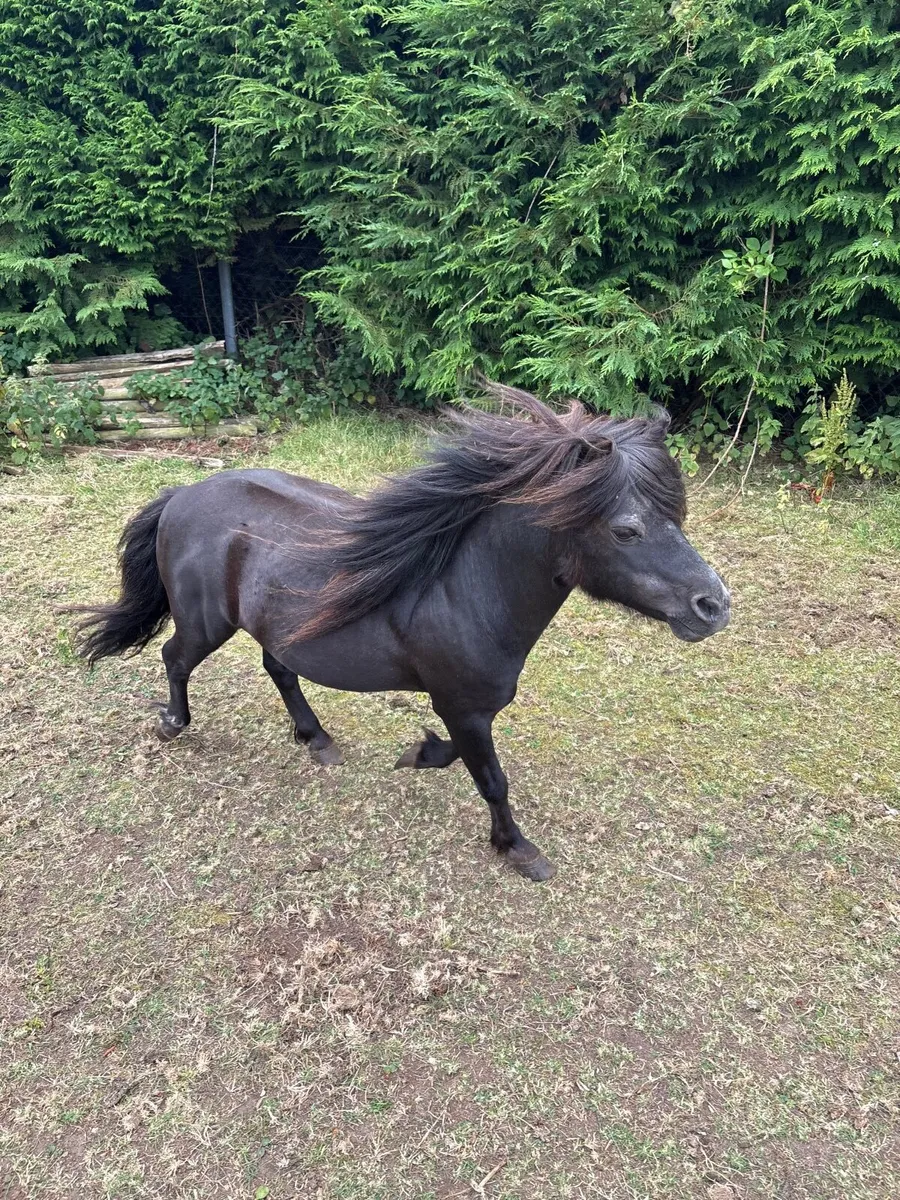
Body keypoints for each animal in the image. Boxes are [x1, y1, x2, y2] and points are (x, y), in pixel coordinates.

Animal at [75, 384, 730, 881]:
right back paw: (173, 723)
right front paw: (517, 849)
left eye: (678, 514)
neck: (467, 587)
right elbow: (492, 779)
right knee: (175, 657)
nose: (714, 606)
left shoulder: (465, 708)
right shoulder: (464, 707)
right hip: (204, 623)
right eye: (626, 530)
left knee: (278, 668)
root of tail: (182, 493)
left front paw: (418, 753)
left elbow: (458, 758)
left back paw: (316, 738)